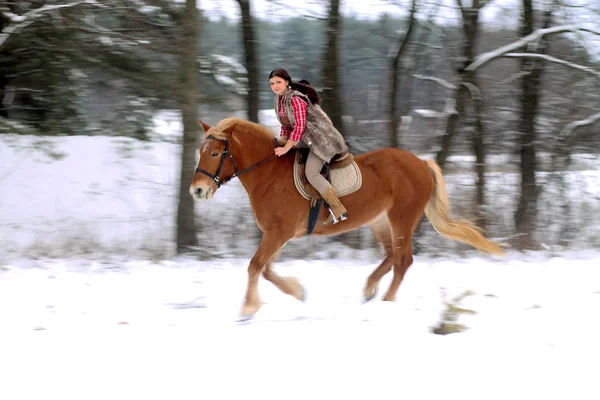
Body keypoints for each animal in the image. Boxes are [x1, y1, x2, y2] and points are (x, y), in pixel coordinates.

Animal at [190, 117, 504, 320]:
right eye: (200, 152)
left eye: (215, 153)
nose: (197, 190)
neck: (270, 175)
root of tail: (421, 163)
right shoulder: (278, 235)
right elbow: (265, 269)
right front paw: (298, 291)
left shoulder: (279, 233)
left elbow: (255, 266)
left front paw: (247, 309)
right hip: (380, 220)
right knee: (392, 256)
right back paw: (369, 290)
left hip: (401, 218)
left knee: (403, 261)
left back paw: (386, 303)